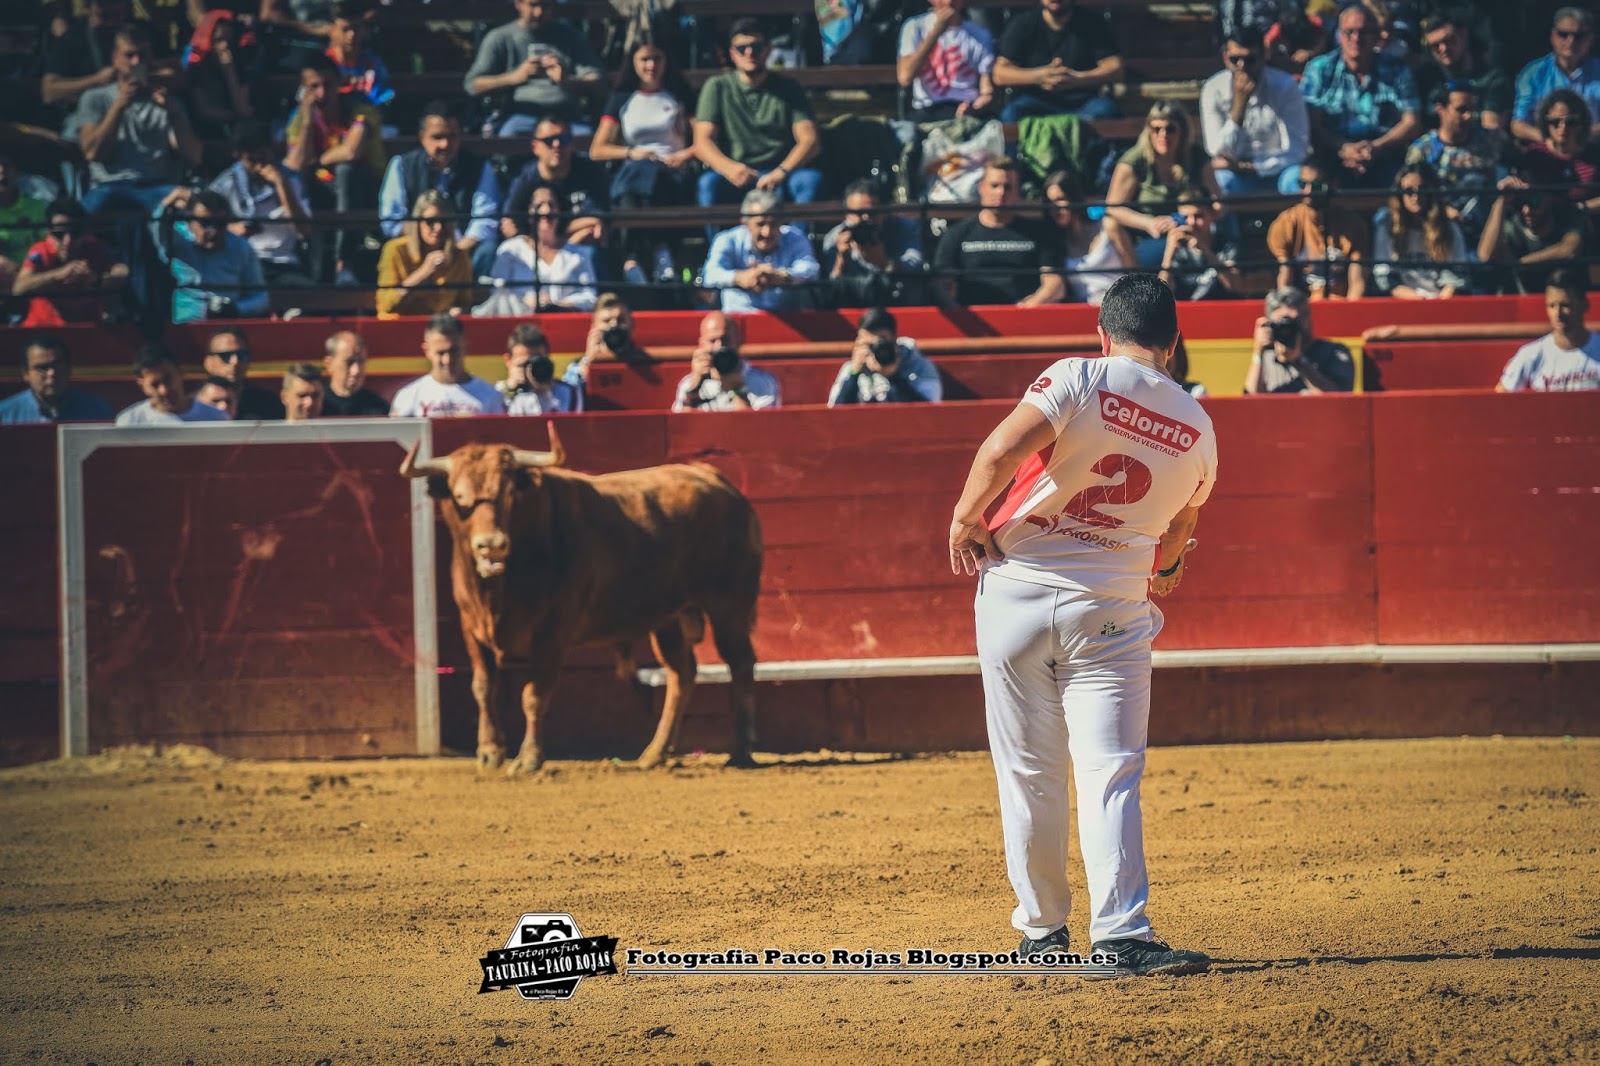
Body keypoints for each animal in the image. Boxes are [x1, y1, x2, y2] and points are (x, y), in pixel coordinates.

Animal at [400, 426, 763, 773]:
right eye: (460, 496)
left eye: (509, 492)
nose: (492, 544)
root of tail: (718, 482)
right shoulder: (471, 629)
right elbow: (483, 687)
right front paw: (490, 753)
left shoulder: (552, 635)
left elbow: (533, 695)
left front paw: (528, 759)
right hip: (668, 619)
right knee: (681, 675)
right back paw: (654, 754)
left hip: (728, 606)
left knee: (741, 663)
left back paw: (741, 751)